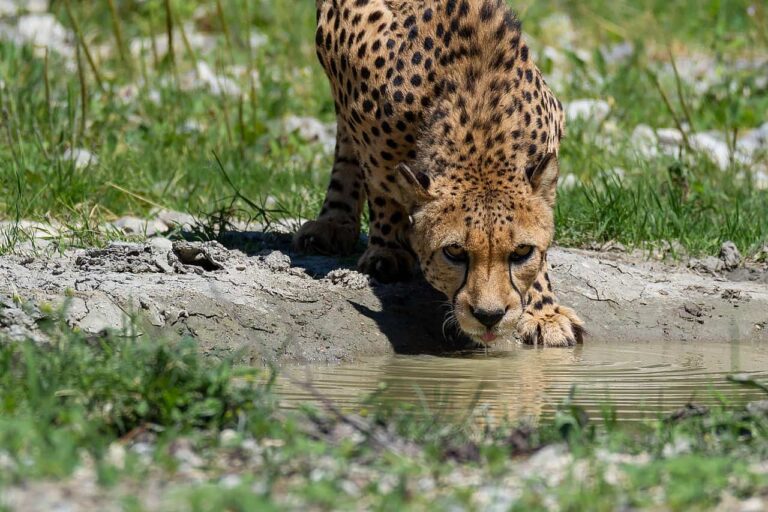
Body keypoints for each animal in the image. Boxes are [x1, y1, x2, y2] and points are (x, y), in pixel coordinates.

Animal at [294, 0, 584, 347]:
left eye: (521, 252)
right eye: (454, 251)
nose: (489, 316)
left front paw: (544, 312)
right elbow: (379, 180)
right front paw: (387, 247)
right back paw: (334, 222)